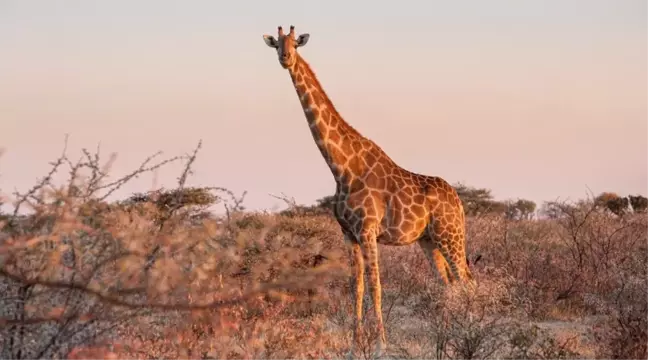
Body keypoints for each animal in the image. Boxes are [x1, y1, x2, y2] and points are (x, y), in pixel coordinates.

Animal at [264, 24, 476, 358]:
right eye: (276, 44)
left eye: (296, 43)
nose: (285, 58)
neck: (341, 167)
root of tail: (459, 202)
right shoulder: (348, 234)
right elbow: (357, 287)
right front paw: (355, 345)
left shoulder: (367, 230)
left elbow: (376, 285)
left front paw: (380, 345)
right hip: (429, 241)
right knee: (448, 283)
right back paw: (448, 338)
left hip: (450, 235)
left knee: (467, 281)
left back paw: (468, 334)